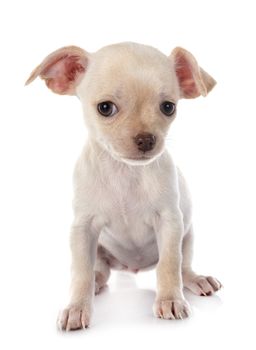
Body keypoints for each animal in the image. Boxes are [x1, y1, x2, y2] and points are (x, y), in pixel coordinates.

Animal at [26, 41, 222, 330]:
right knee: (99, 271)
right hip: (100, 250)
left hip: (187, 235)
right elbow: (80, 271)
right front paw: (76, 307)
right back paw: (96, 283)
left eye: (168, 107)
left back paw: (195, 279)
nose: (146, 139)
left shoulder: (170, 223)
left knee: (182, 266)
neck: (126, 173)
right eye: (105, 108)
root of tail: (131, 268)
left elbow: (169, 265)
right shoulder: (83, 228)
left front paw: (169, 299)